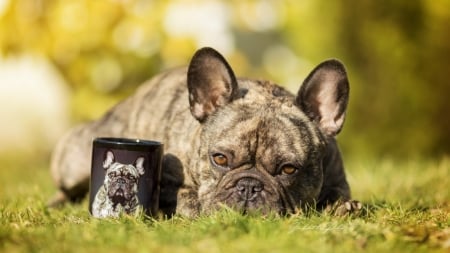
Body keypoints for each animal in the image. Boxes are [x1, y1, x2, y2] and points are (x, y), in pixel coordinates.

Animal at [49, 47, 360, 217]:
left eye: (288, 169)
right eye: (220, 159)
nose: (249, 186)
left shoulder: (337, 176)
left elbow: (338, 194)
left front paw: (341, 208)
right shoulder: (167, 181)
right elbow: (188, 196)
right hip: (74, 162)